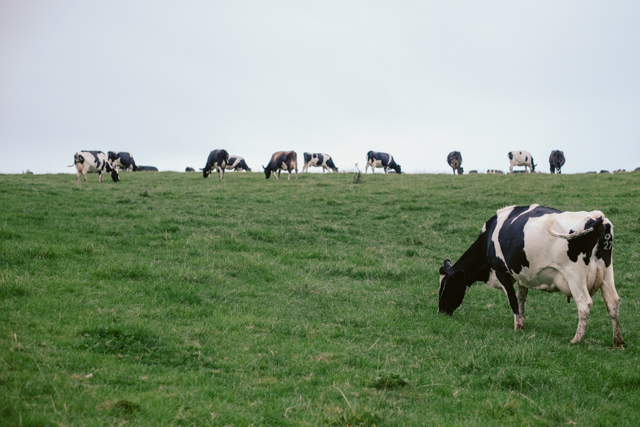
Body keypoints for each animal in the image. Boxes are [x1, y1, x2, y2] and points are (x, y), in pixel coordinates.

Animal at [438, 206, 624, 350]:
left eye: (446, 285)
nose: (441, 312)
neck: (489, 238)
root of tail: (597, 217)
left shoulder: (501, 271)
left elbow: (513, 301)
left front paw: (517, 326)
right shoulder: (522, 277)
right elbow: (521, 300)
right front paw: (522, 322)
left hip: (574, 275)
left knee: (584, 303)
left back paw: (576, 339)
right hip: (607, 271)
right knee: (613, 302)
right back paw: (618, 342)